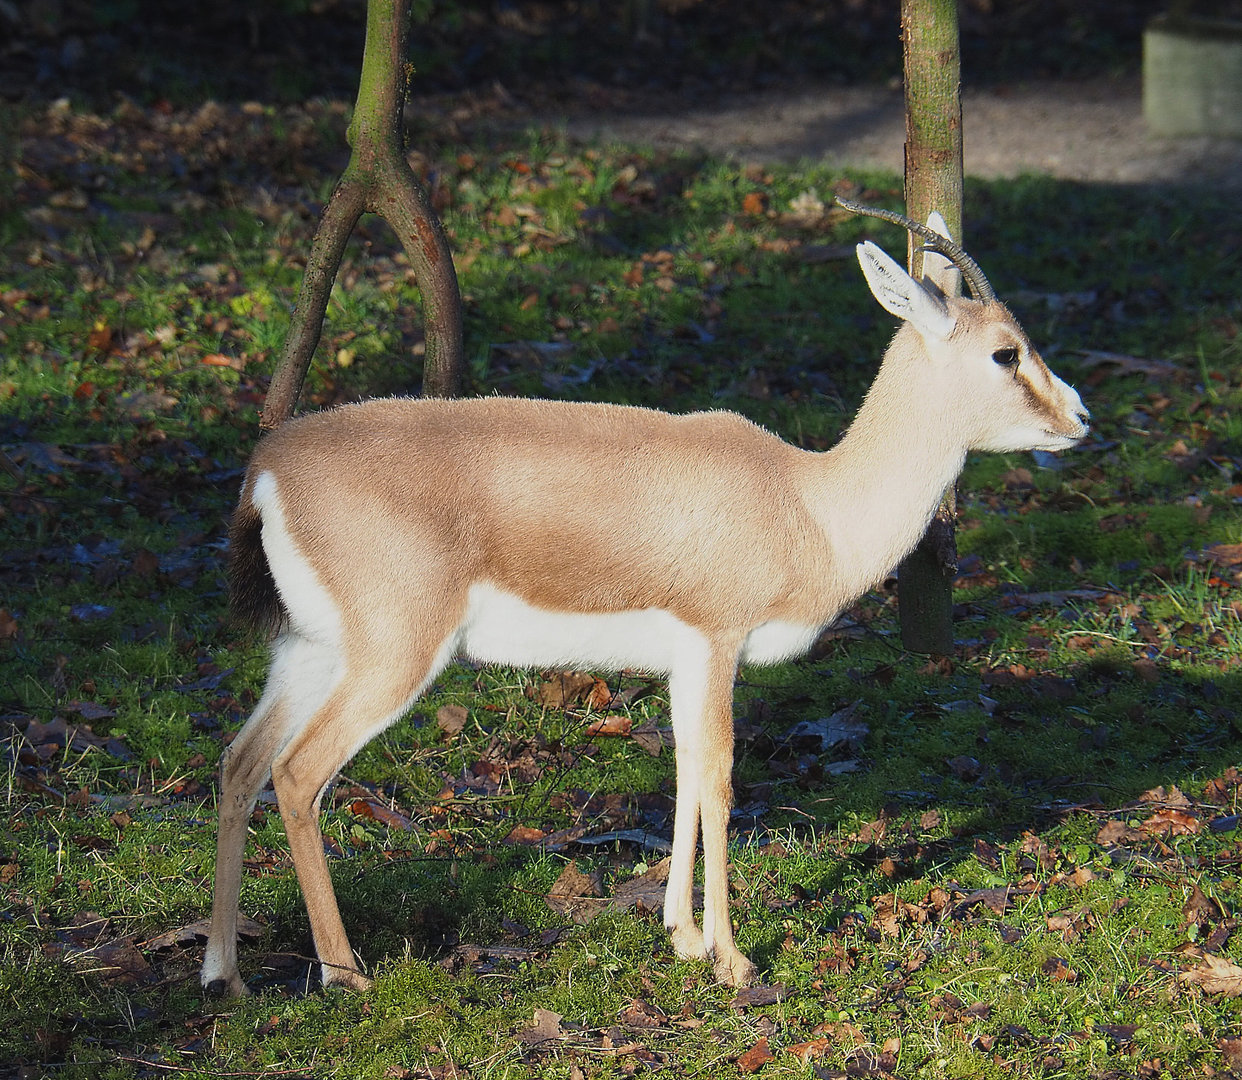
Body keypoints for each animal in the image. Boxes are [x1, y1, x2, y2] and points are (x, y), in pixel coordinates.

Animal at [200, 201, 1089, 996]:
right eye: (1006, 353)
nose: (1080, 416)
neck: (807, 504)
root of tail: (268, 468)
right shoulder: (718, 640)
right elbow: (722, 779)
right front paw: (734, 960)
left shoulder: (686, 661)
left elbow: (687, 768)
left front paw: (683, 937)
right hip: (392, 659)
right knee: (297, 773)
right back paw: (346, 973)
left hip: (311, 651)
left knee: (240, 761)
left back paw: (225, 976)